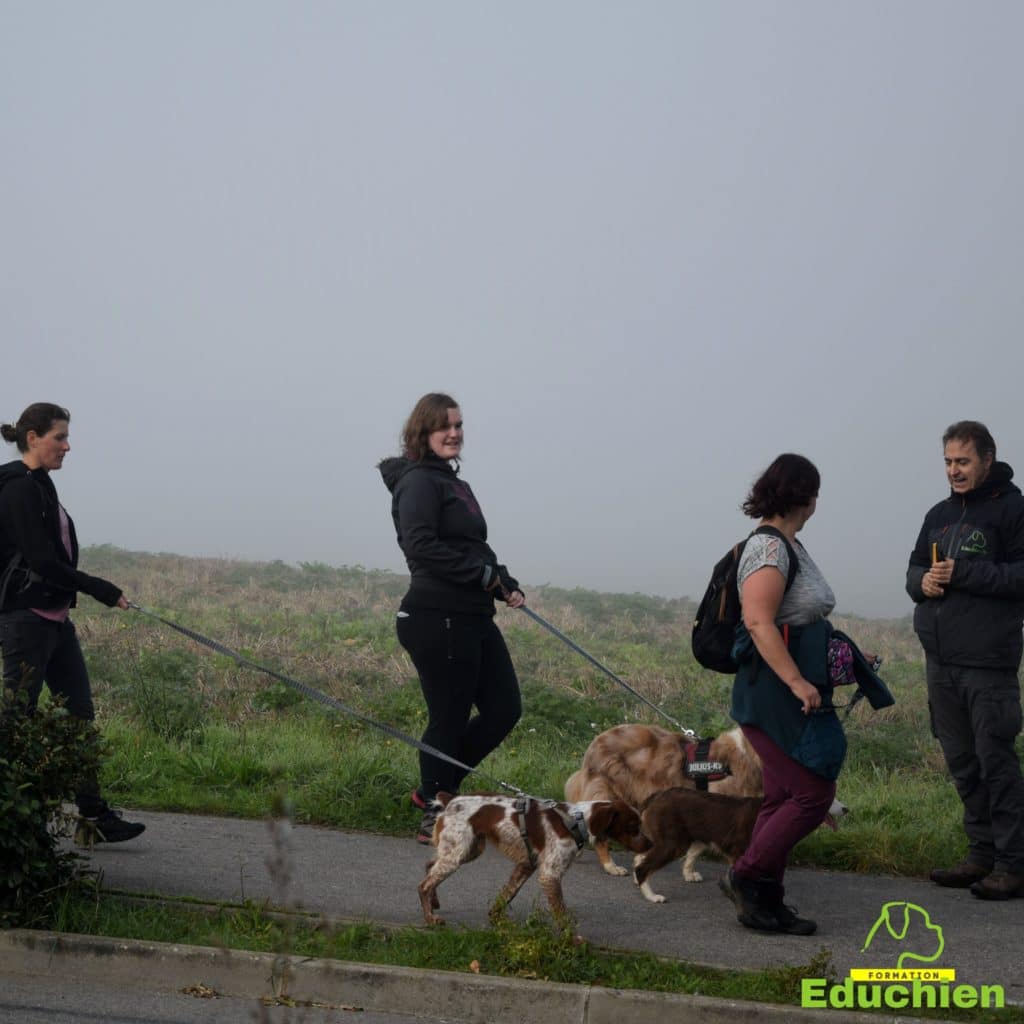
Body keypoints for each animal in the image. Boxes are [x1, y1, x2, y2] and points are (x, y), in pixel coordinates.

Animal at [419, 790, 651, 929]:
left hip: (467, 850)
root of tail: (450, 800)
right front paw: (574, 940)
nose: (650, 844)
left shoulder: (526, 865)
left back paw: (434, 902)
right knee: (424, 884)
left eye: (640, 825)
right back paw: (430, 918)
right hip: (457, 854)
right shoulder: (550, 874)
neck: (576, 821)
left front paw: (496, 919)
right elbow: (561, 912)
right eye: (633, 827)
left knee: (429, 866)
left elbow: (507, 895)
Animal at [630, 786, 761, 901]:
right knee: (642, 868)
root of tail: (658, 795)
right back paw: (652, 896)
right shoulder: (738, 852)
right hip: (673, 844)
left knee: (640, 857)